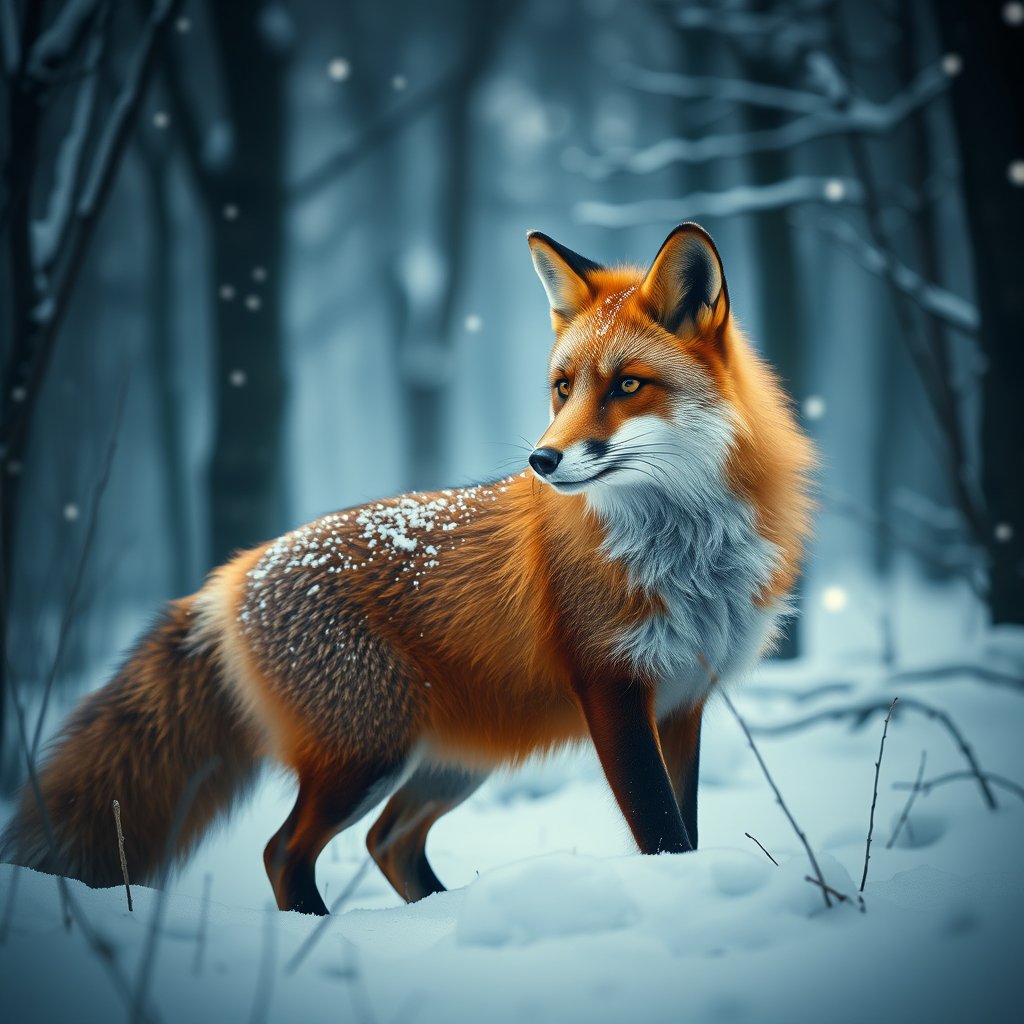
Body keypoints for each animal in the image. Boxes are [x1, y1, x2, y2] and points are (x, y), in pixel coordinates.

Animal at [2, 223, 814, 914]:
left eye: (627, 385)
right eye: (563, 387)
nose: (542, 460)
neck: (685, 554)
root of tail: (231, 573)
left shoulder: (682, 700)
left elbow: (685, 829)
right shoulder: (612, 689)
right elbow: (661, 830)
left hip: (447, 762)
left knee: (387, 842)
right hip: (367, 754)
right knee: (284, 851)